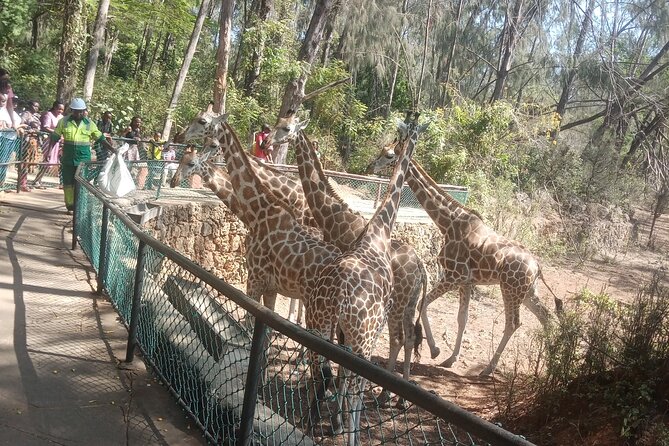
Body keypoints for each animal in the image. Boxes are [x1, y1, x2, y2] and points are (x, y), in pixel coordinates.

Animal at [266, 113, 428, 407]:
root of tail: (420, 265)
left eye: (286, 127)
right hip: (405, 305)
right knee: (405, 339)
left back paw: (388, 396)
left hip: (397, 305)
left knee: (400, 339)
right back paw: (392, 397)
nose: (268, 142)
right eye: (276, 123)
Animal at [305, 118, 425, 445]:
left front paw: (337, 423)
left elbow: (340, 377)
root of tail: (338, 297)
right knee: (358, 383)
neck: (378, 231)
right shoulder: (370, 331)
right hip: (364, 334)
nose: (372, 165)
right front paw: (347, 428)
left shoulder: (342, 334)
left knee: (320, 372)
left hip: (320, 326)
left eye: (388, 152)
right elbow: (351, 384)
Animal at [366, 132, 562, 376]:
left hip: (510, 289)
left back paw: (488, 369)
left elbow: (425, 304)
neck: (447, 222)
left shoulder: (454, 275)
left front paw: (436, 350)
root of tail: (537, 266)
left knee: (513, 323)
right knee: (546, 317)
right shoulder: (466, 281)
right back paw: (545, 368)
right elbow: (462, 318)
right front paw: (450, 358)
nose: (370, 166)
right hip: (527, 292)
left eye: (389, 154)